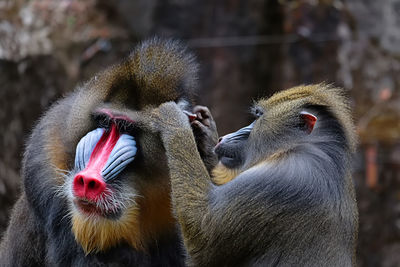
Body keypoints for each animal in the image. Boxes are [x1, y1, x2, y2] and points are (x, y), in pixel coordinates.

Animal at [148, 85, 360, 267]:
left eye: (259, 117)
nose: (223, 138)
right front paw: (206, 132)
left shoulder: (280, 180)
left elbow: (202, 235)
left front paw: (173, 121)